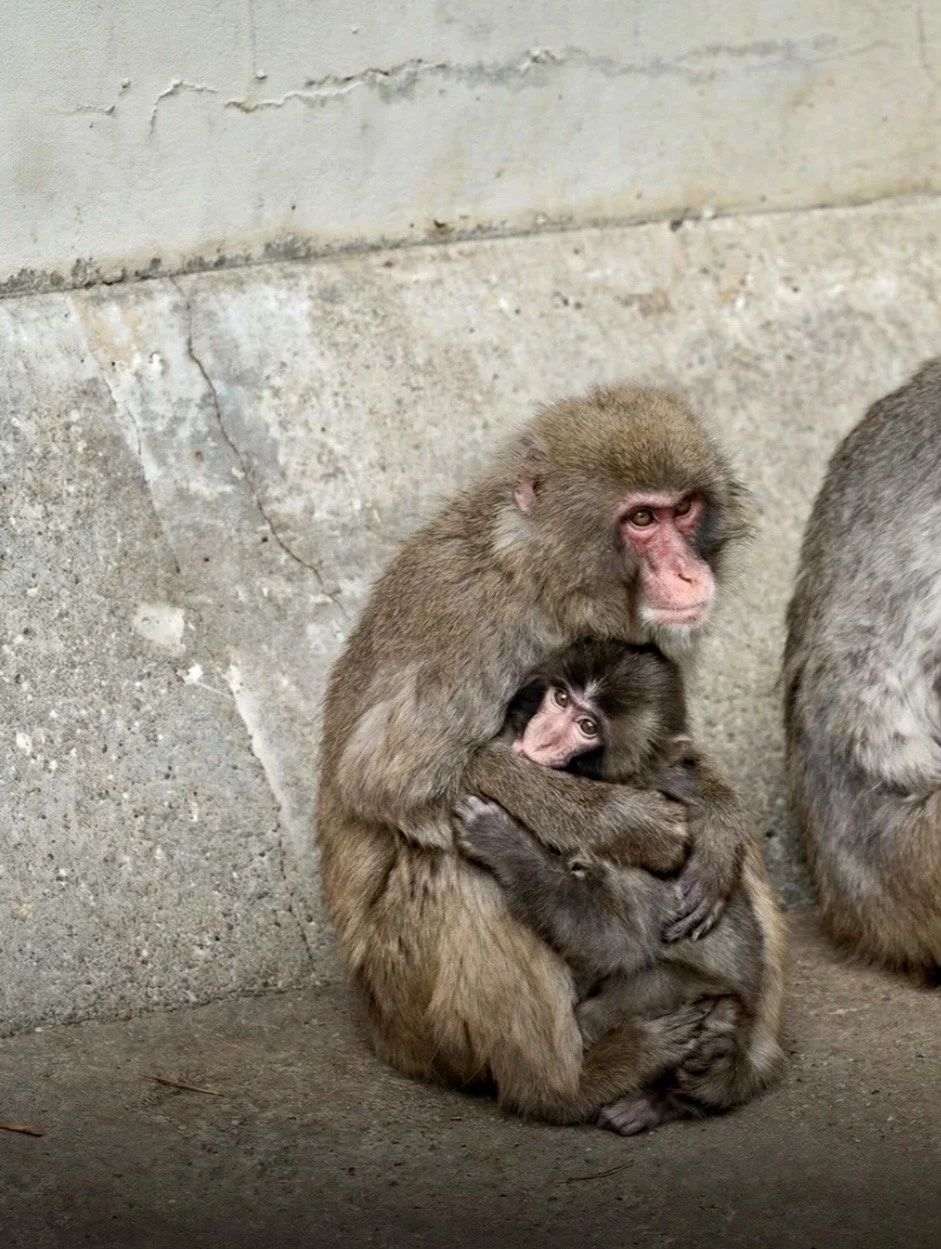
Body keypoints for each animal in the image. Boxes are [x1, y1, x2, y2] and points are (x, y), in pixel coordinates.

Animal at [452, 638, 786, 1134]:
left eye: (588, 727)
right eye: (561, 698)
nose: (540, 738)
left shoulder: (652, 871)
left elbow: (613, 937)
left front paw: (501, 840)